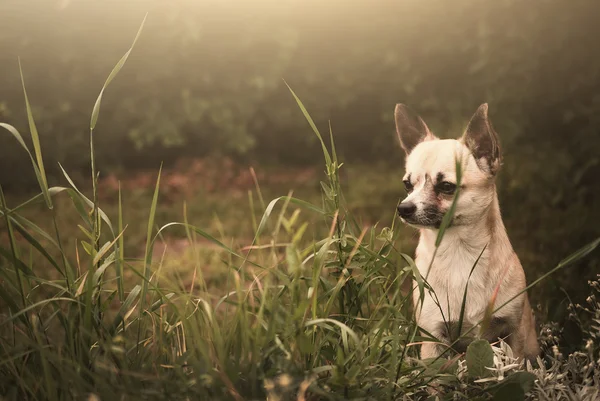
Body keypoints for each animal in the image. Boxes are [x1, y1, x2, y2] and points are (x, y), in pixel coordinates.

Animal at [394, 103, 540, 360]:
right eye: (408, 185)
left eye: (446, 187)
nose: (404, 208)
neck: (459, 250)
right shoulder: (433, 338)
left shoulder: (513, 334)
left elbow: (515, 364)